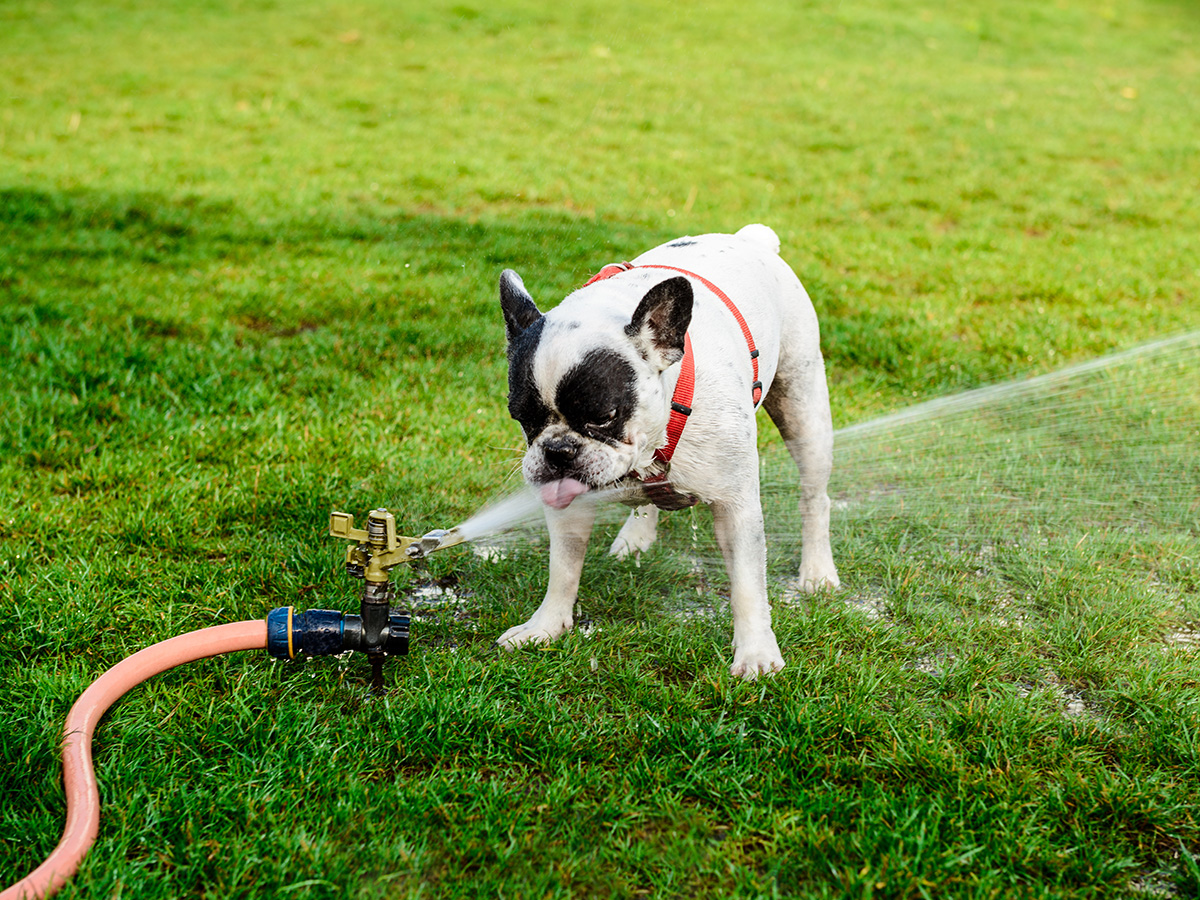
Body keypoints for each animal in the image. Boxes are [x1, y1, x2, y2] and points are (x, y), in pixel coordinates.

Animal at [494, 224, 835, 676]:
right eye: (521, 417)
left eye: (604, 416)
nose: (557, 451)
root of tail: (751, 238)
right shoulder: (568, 505)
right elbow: (563, 568)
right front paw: (545, 626)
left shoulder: (736, 507)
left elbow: (748, 584)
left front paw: (756, 653)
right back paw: (636, 536)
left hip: (804, 409)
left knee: (815, 497)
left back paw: (817, 571)